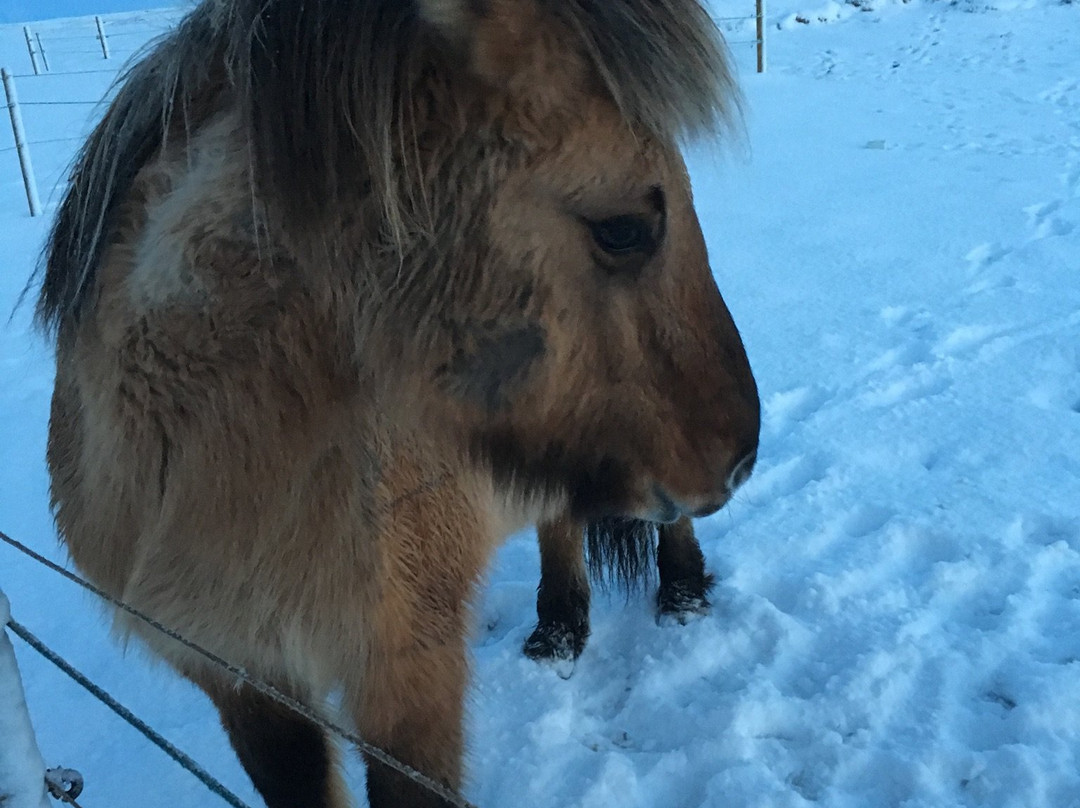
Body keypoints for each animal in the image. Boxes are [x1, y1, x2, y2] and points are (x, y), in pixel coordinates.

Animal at [35, 1, 760, 808]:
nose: (738, 457)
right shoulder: (242, 676)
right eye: (624, 228)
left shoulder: (408, 679)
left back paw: (681, 591)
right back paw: (559, 629)